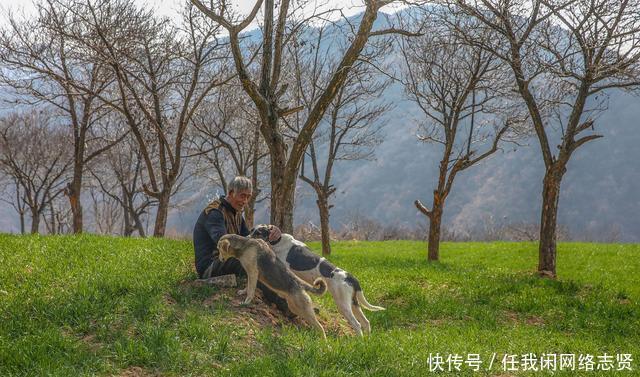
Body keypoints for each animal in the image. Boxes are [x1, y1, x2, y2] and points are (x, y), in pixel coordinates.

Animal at [248, 225, 382, 336]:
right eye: (251, 230)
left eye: (258, 233)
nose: (246, 238)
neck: (278, 240)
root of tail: (350, 277)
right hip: (353, 303)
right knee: (366, 322)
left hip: (343, 304)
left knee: (357, 324)